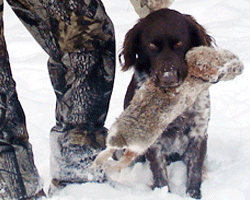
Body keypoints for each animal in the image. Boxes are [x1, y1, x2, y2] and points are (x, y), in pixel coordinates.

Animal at [119, 8, 213, 199]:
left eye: (179, 43)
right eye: (152, 46)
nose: (168, 77)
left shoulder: (198, 132)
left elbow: (194, 172)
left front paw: (193, 194)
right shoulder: (151, 139)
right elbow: (160, 175)